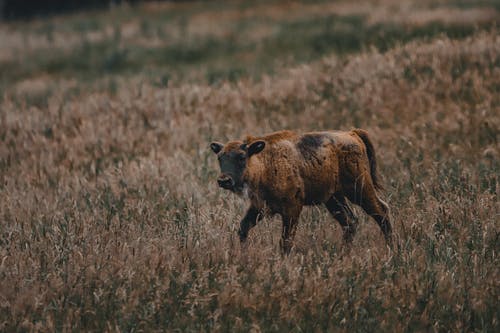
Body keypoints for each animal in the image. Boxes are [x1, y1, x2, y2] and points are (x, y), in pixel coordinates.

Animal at [209, 128, 392, 253]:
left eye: (242, 157)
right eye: (220, 158)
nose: (224, 180)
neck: (265, 163)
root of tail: (352, 134)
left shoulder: (292, 209)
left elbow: (286, 241)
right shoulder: (259, 207)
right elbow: (243, 228)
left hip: (359, 190)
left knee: (380, 211)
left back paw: (392, 249)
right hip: (333, 198)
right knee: (350, 222)